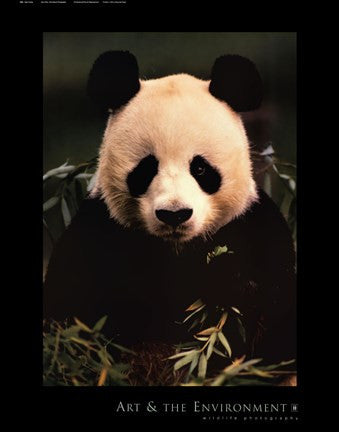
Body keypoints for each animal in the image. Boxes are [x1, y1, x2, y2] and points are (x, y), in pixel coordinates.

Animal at [43, 52, 296, 366]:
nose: (174, 214)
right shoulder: (97, 232)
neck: (177, 248)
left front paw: (225, 277)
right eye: (146, 169)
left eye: (200, 168)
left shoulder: (255, 228)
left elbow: (270, 320)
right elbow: (71, 321)